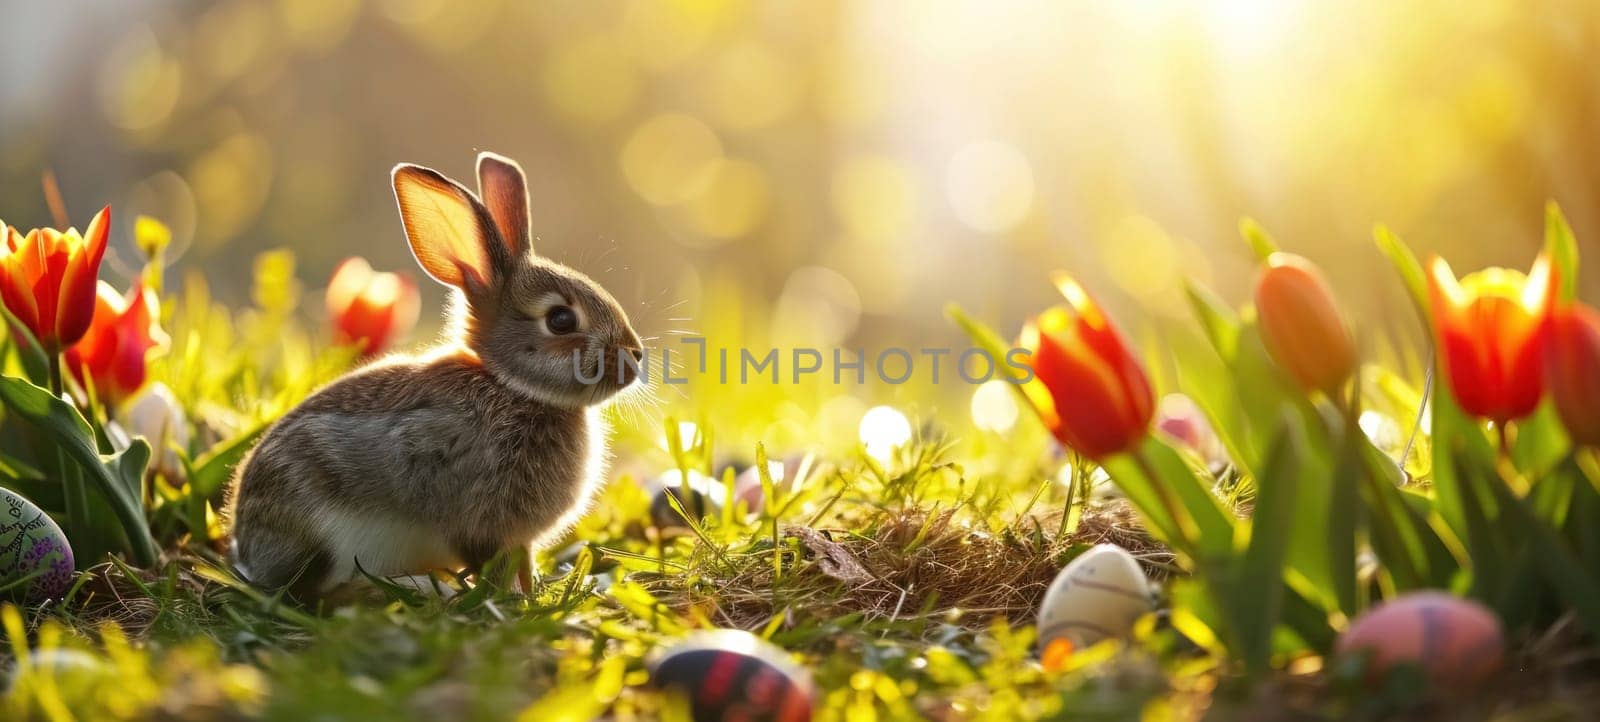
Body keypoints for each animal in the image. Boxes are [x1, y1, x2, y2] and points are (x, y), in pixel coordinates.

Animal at [224, 152, 643, 598]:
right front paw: (509, 598)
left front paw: (530, 593)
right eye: (561, 320)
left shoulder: (519, 538)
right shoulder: (479, 518)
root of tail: (247, 547)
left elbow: (524, 562)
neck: (510, 387)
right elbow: (490, 561)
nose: (634, 358)